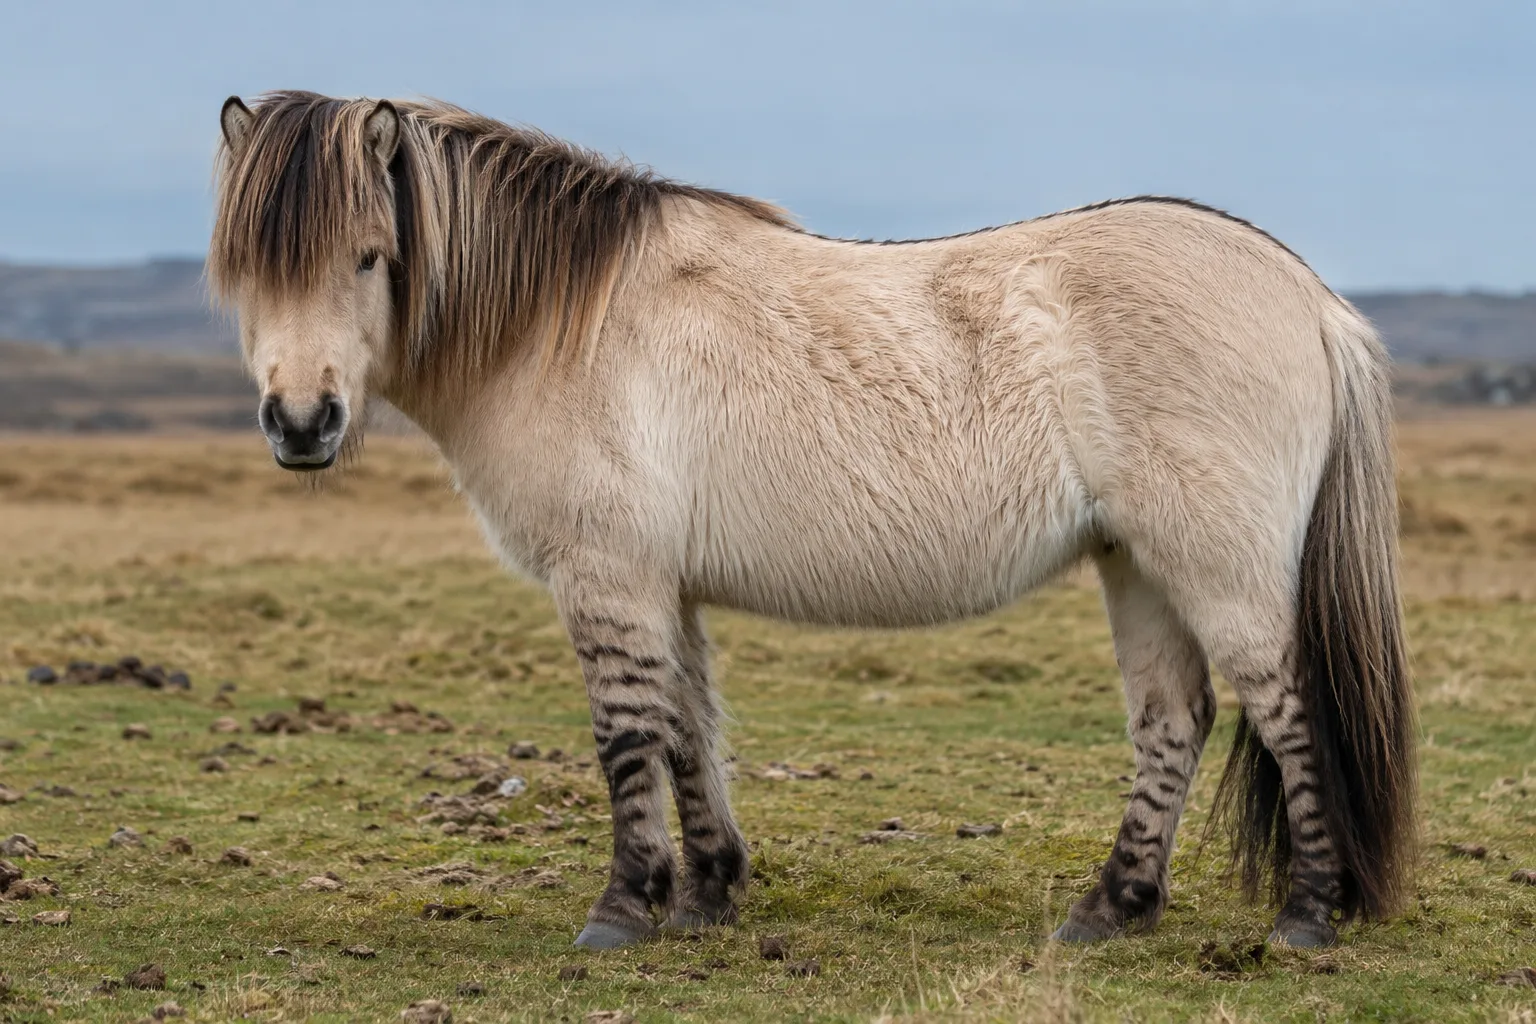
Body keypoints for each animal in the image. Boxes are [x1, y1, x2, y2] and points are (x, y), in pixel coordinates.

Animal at [210, 90, 1416, 950]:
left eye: (369, 255)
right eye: (246, 272)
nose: (303, 423)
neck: (565, 322)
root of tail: (1310, 298)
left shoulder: (609, 576)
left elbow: (624, 736)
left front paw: (623, 909)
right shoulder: (664, 587)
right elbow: (686, 729)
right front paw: (707, 895)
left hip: (1215, 564)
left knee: (1287, 706)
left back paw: (1306, 915)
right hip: (1140, 564)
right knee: (1174, 718)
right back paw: (1110, 909)